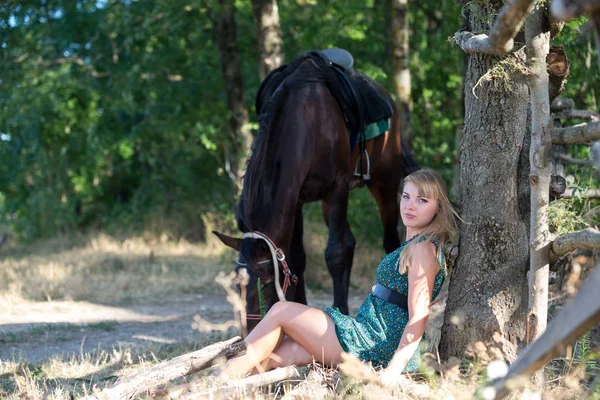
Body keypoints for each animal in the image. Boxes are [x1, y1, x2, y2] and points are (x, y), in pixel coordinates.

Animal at [214, 50, 418, 332]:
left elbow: (336, 253)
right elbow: (297, 258)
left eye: (265, 280)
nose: (251, 330)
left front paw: (340, 312)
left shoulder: (338, 187)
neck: (306, 120)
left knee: (389, 241)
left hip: (384, 183)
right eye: (237, 283)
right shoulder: (296, 199)